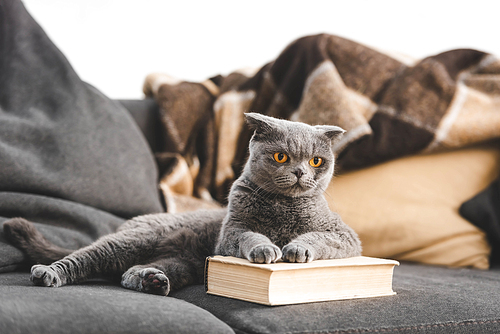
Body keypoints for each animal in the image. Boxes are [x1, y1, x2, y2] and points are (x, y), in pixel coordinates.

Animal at [4, 113, 364, 296]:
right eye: (281, 157)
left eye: (317, 161)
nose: (302, 172)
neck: (281, 208)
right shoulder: (230, 233)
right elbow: (250, 235)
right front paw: (266, 249)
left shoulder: (344, 235)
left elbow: (317, 237)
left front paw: (296, 249)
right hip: (132, 240)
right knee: (84, 257)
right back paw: (48, 274)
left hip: (182, 262)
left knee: (127, 273)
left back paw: (152, 280)